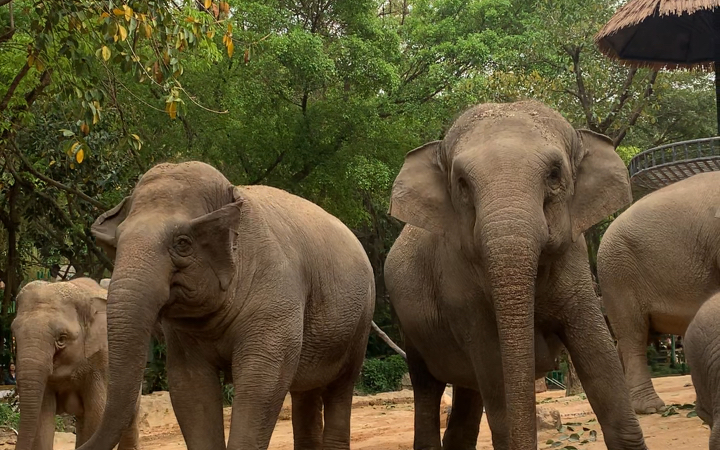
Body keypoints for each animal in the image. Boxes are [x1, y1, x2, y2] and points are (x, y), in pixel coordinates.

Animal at [77, 161, 376, 450]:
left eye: (183, 243)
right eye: (118, 242)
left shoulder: (276, 296)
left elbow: (261, 382)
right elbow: (189, 388)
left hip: (360, 323)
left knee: (341, 386)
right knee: (306, 392)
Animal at [388, 99, 648, 450]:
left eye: (554, 174)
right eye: (462, 184)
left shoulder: (576, 266)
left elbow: (599, 358)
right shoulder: (460, 287)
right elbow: (493, 366)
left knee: (468, 395)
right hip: (412, 330)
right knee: (428, 386)